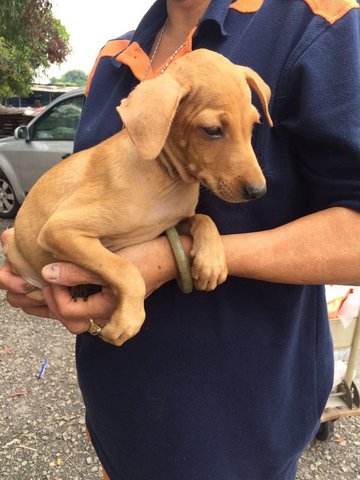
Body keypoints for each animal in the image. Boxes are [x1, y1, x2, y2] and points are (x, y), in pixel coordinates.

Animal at [5, 49, 272, 344]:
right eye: (212, 130)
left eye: (253, 125)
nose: (259, 191)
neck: (166, 179)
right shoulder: (60, 229)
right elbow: (125, 270)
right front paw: (128, 319)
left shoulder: (172, 223)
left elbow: (203, 218)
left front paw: (211, 260)